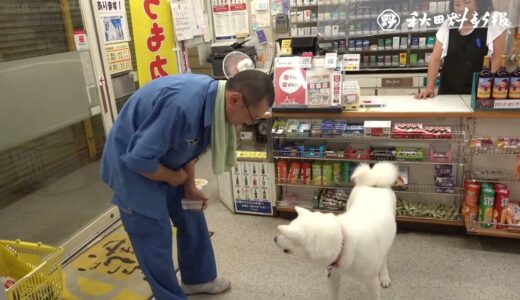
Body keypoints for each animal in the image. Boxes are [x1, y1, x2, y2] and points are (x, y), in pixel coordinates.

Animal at [274, 162, 400, 300]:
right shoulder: (332, 275)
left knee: (384, 259)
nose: (274, 238)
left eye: (286, 234)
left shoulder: (371, 282)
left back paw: (384, 277)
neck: (343, 243)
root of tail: (375, 184)